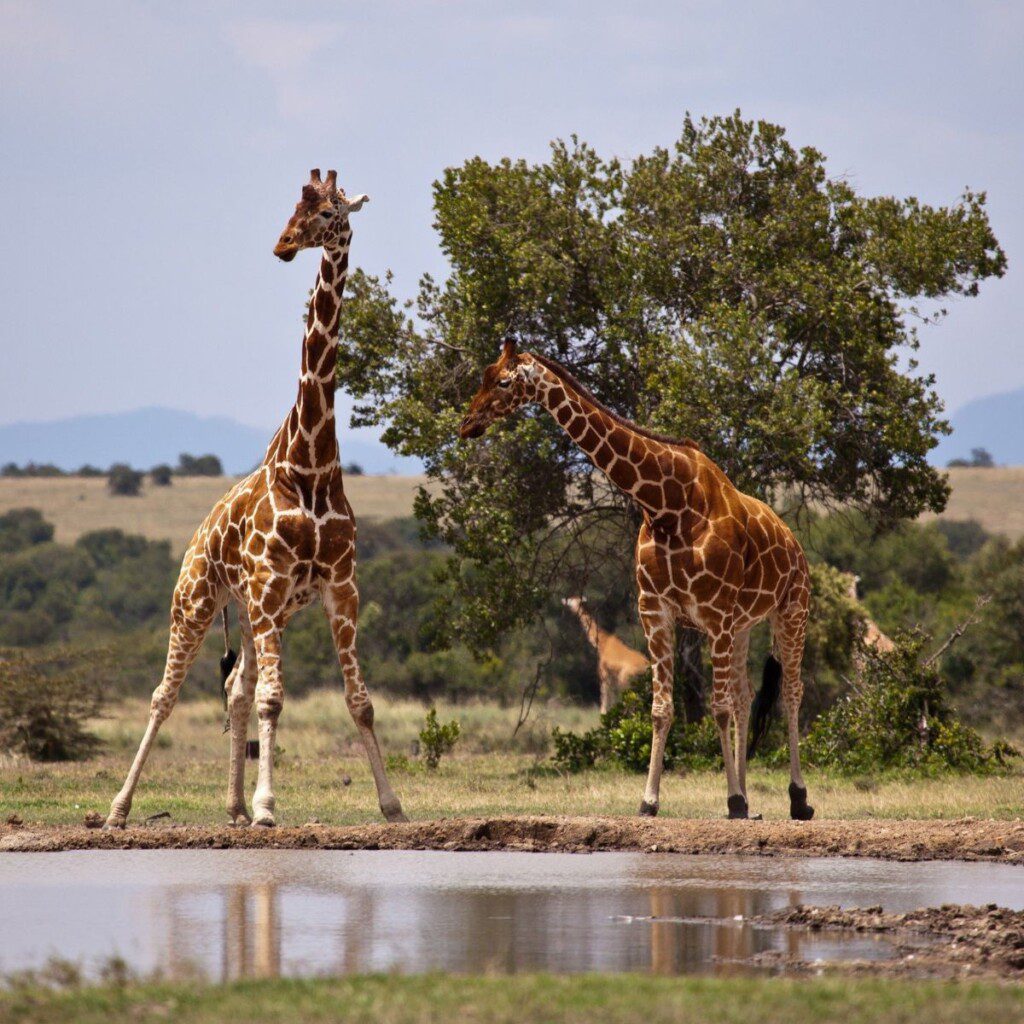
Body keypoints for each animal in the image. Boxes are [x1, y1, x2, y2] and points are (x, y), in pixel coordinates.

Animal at [104, 165, 407, 823]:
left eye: (329, 213)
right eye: (294, 208)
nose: (283, 246)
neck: (311, 464)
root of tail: (197, 536)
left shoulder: (339, 589)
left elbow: (359, 700)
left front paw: (392, 803)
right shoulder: (270, 589)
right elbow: (274, 699)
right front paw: (271, 805)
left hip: (252, 613)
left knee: (235, 686)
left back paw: (234, 806)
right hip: (197, 601)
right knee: (166, 694)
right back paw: (119, 808)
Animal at [464, 339, 815, 819]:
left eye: (502, 381)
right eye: (481, 375)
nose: (467, 423)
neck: (667, 504)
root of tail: (795, 543)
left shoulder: (716, 615)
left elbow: (718, 708)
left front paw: (733, 800)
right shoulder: (657, 610)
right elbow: (662, 708)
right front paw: (651, 801)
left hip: (791, 610)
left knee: (792, 692)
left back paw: (798, 799)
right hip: (743, 626)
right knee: (746, 697)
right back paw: (753, 800)